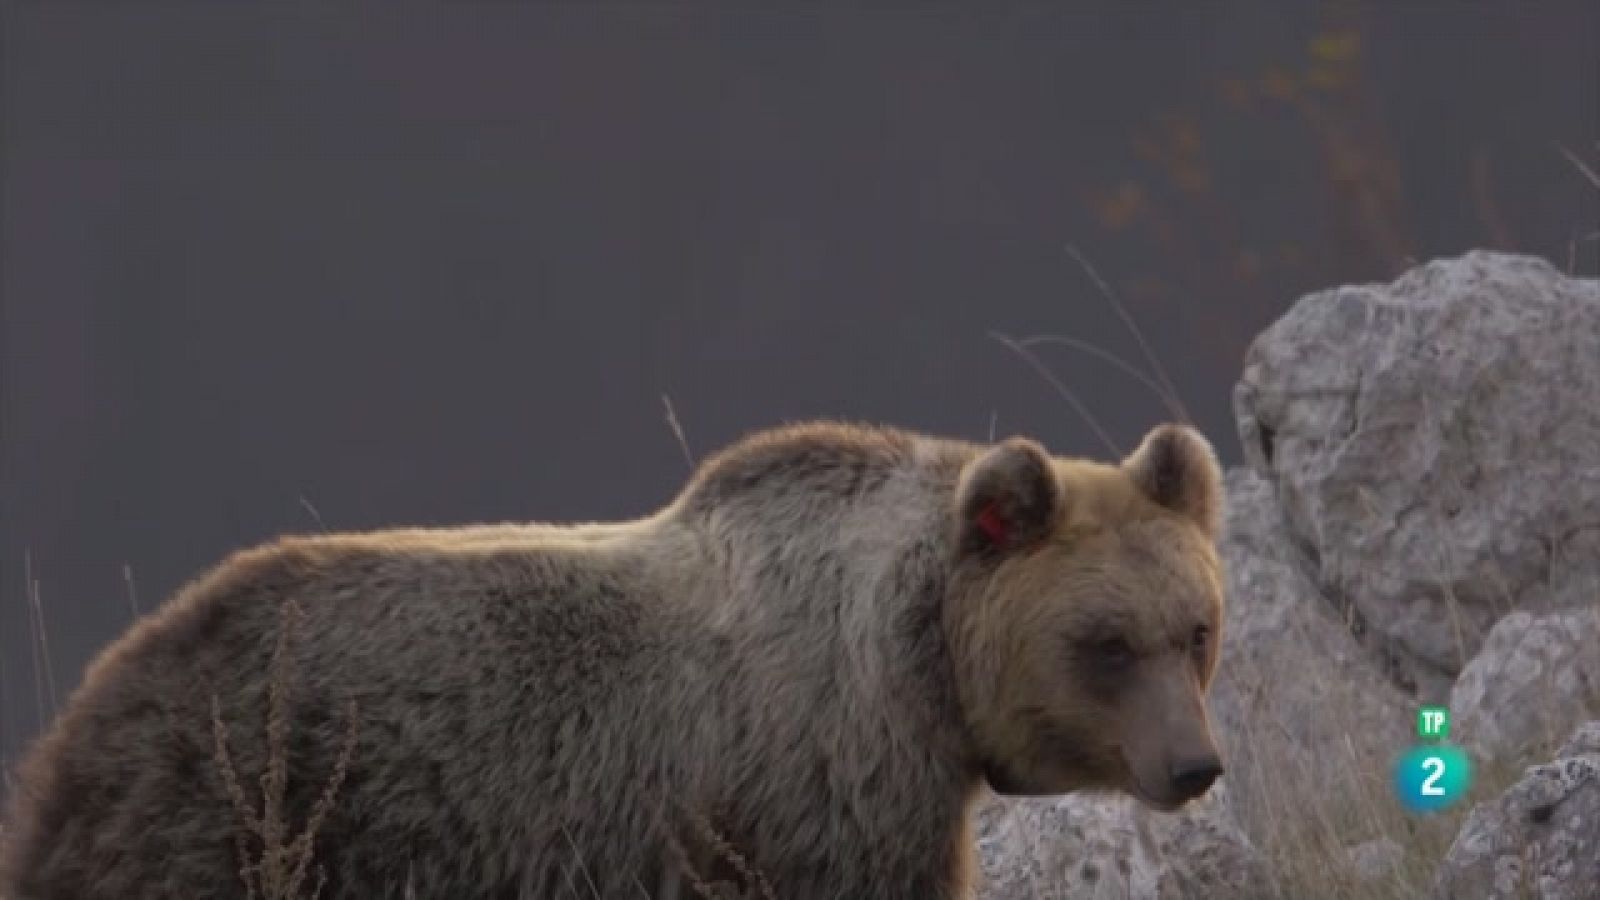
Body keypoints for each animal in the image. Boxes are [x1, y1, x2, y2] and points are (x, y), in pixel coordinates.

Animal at [0, 419, 1228, 896]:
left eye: (1197, 629)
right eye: (1104, 642)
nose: (1195, 766)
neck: (920, 658)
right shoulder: (827, 781)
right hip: (244, 809)